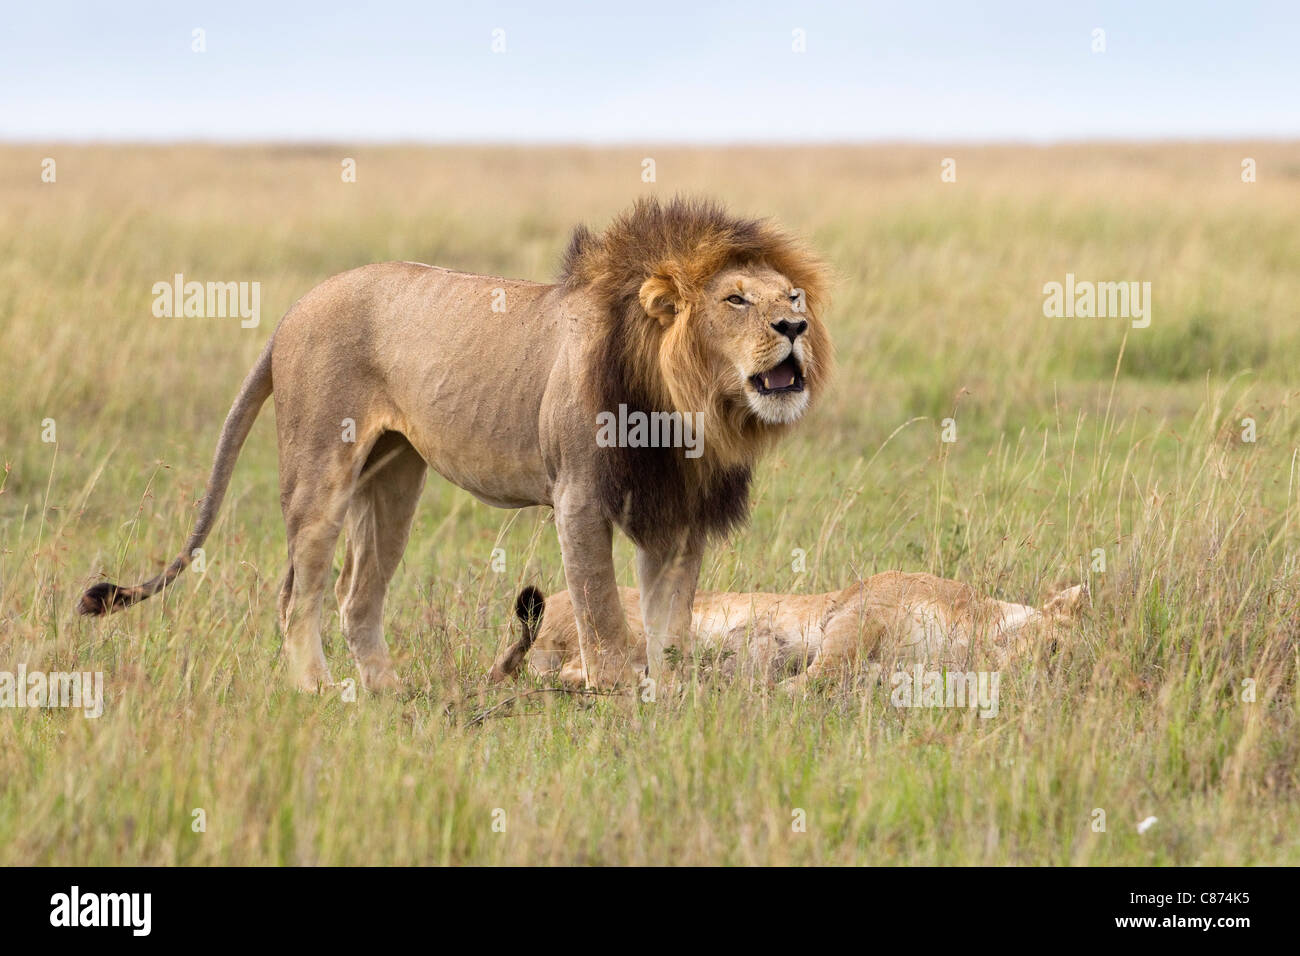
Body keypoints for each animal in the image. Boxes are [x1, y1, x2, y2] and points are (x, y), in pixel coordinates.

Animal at [77, 197, 832, 693]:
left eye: (792, 294)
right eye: (735, 300)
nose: (795, 326)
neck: (688, 404)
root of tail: (292, 311)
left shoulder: (676, 514)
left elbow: (668, 626)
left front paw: (670, 702)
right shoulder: (580, 498)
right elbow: (603, 617)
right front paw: (617, 699)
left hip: (394, 478)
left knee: (356, 596)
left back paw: (388, 696)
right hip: (321, 471)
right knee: (299, 593)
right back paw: (319, 689)